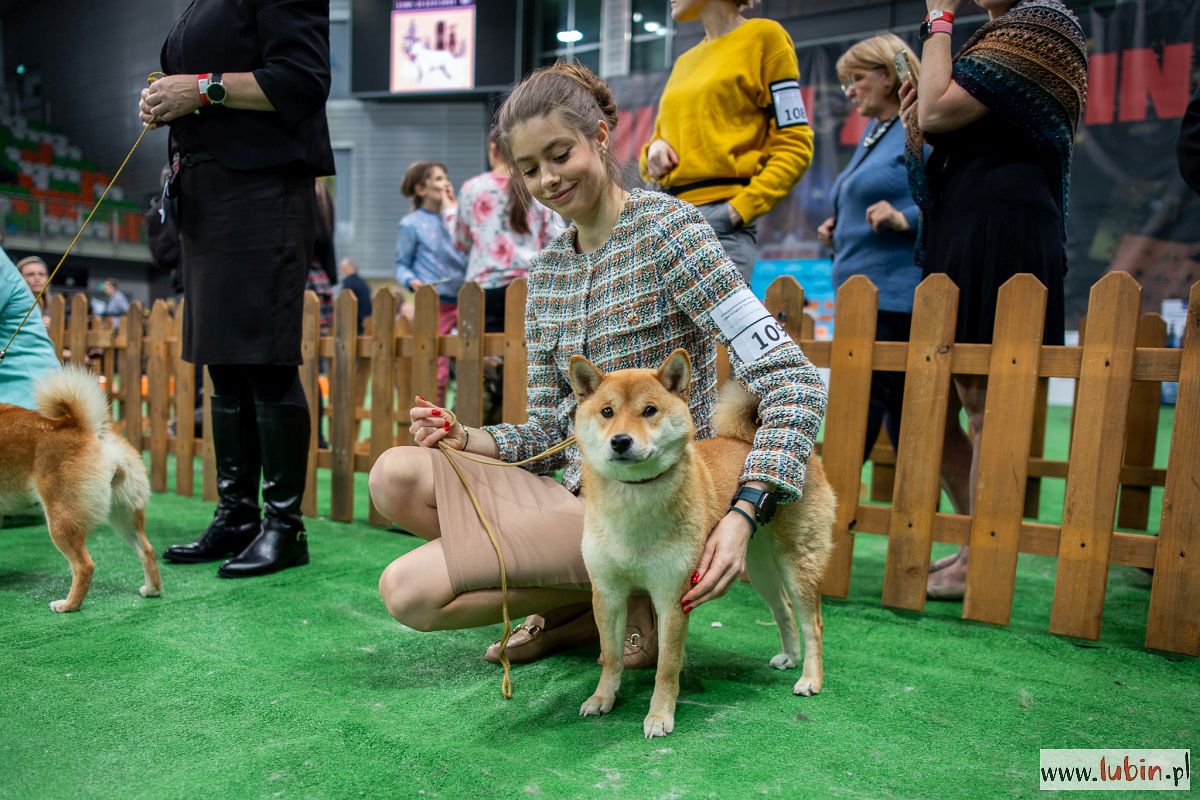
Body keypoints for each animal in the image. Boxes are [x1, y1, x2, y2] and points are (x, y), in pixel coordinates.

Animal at [0, 369, 163, 614]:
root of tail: (88, 430)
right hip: (123, 515)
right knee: (147, 549)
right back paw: (152, 589)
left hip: (61, 519)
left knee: (84, 565)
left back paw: (68, 604)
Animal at [568, 350, 835, 738]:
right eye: (606, 411)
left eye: (649, 410)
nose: (620, 441)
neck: (634, 501)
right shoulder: (608, 592)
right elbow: (612, 655)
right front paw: (603, 698)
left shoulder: (673, 597)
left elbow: (666, 667)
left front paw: (660, 716)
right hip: (758, 568)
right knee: (783, 609)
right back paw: (790, 657)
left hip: (797, 562)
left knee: (812, 623)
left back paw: (810, 679)